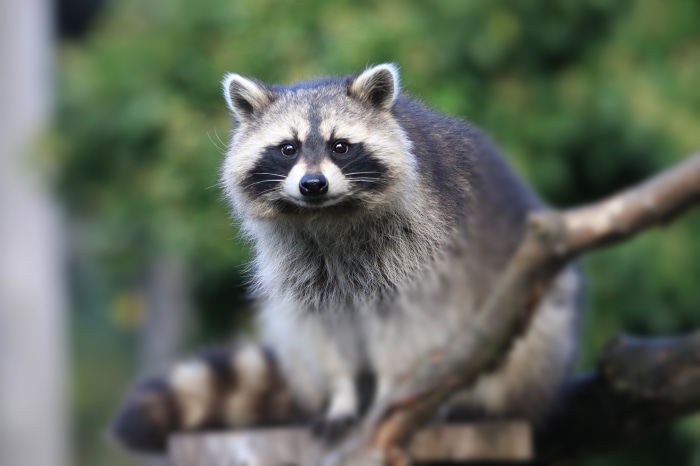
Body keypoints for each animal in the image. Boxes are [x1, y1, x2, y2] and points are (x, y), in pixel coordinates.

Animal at [113, 64, 581, 452]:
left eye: (340, 146)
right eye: (287, 148)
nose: (313, 185)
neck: (327, 215)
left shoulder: (421, 255)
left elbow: (408, 333)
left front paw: (387, 399)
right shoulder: (302, 273)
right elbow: (323, 335)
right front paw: (341, 399)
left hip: (531, 324)